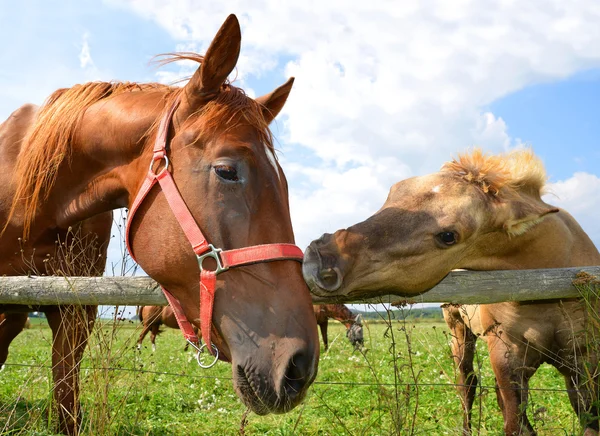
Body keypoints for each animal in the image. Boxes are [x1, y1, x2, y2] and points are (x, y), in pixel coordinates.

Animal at [304, 150, 600, 436]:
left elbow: (587, 422)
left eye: (448, 236)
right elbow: (515, 424)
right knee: (467, 386)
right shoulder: (506, 357)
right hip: (458, 330)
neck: (547, 286)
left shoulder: (585, 362)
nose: (319, 258)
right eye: (394, 190)